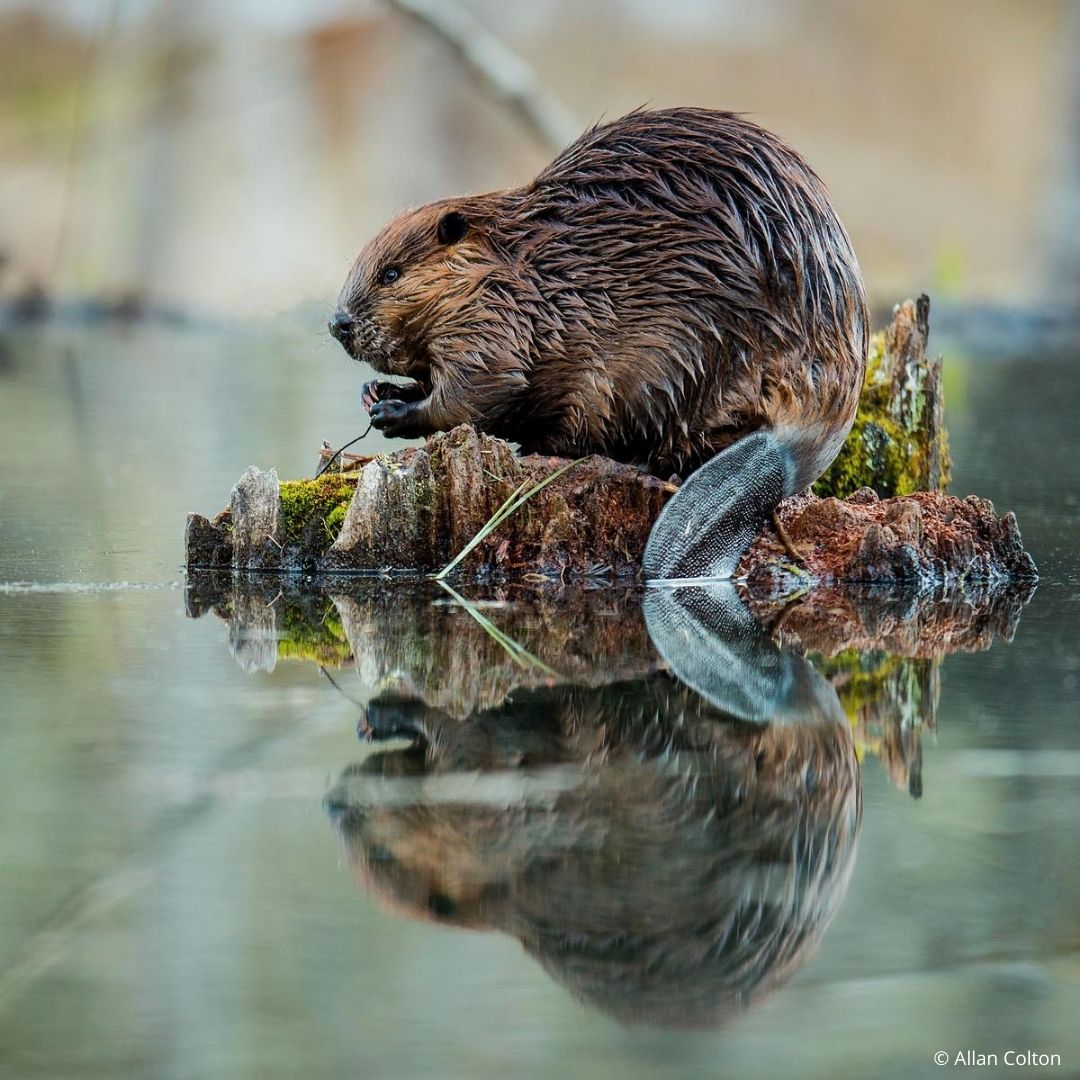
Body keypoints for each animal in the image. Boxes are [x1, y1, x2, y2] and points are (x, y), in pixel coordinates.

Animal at [328, 108, 868, 578]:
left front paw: (393, 411)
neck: (519, 266)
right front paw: (377, 391)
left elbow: (480, 390)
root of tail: (788, 450)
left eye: (390, 273)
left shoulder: (497, 323)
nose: (338, 324)